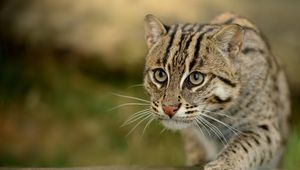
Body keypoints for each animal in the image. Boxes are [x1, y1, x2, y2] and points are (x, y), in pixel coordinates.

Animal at [142, 12, 290, 169]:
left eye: (196, 78)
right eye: (160, 74)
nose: (168, 109)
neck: (216, 115)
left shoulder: (267, 127)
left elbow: (244, 143)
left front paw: (223, 164)